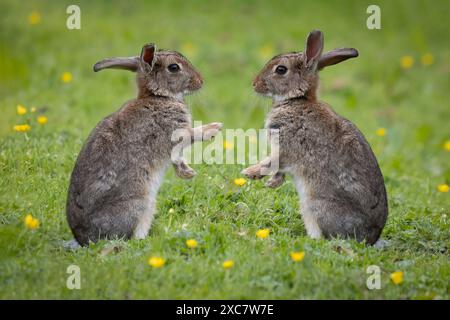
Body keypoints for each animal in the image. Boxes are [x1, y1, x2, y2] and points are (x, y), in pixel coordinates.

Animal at [66, 43, 221, 246]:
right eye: (174, 67)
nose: (200, 81)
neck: (158, 96)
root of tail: (84, 239)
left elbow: (177, 160)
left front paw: (187, 173)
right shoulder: (176, 133)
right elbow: (191, 136)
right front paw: (213, 128)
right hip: (140, 203)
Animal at [243, 30, 386, 245]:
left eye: (281, 69)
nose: (255, 84)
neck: (297, 100)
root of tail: (370, 238)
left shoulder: (286, 147)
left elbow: (272, 163)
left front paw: (250, 173)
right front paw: (271, 183)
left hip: (314, 205)